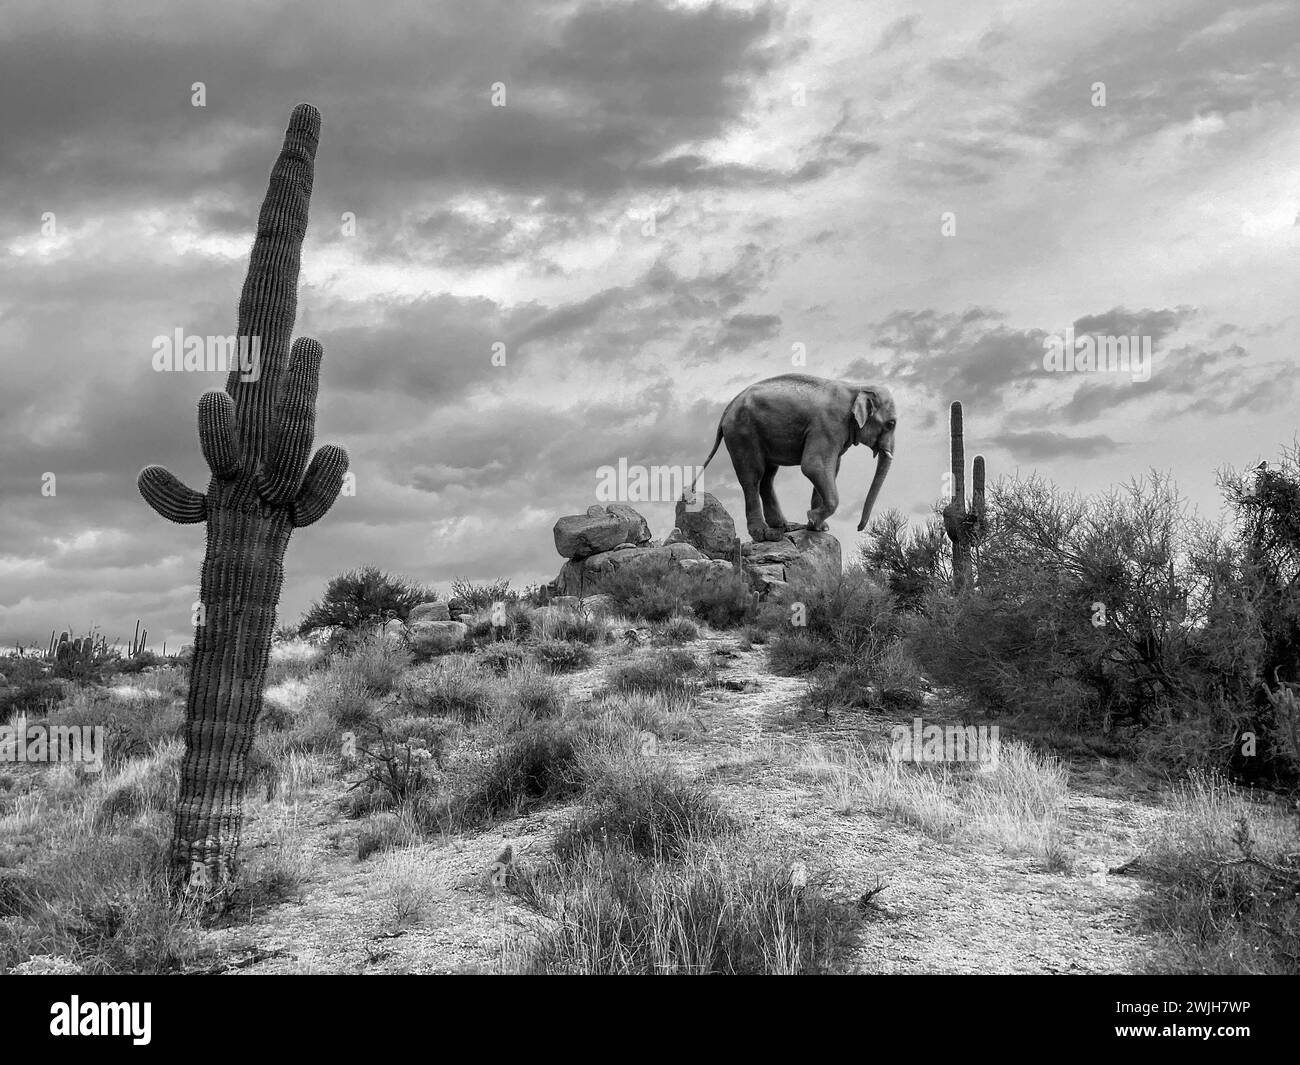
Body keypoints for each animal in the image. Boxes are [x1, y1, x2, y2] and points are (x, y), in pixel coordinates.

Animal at [691, 374, 894, 540]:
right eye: (891, 424)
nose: (859, 528)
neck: (856, 387)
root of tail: (727, 409)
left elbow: (831, 468)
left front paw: (818, 527)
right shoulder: (828, 426)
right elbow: (814, 466)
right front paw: (812, 518)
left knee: (768, 477)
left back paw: (783, 526)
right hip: (743, 434)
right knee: (752, 477)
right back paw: (763, 534)